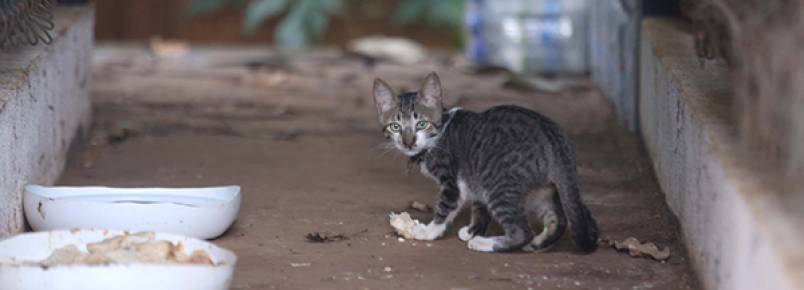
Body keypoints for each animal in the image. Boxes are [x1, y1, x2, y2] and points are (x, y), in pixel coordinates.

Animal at [372, 72, 596, 251]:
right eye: (395, 126)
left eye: (421, 124)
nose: (408, 142)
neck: (438, 135)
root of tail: (554, 135)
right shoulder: (475, 176)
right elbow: (480, 207)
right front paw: (473, 230)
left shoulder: (452, 182)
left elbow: (445, 207)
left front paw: (429, 232)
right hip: (542, 187)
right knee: (559, 218)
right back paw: (538, 243)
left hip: (499, 183)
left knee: (522, 231)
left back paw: (485, 244)